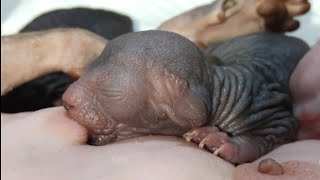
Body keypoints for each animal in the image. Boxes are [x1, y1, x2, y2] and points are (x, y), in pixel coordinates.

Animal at [61, 30, 308, 163]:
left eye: (111, 93)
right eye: (85, 69)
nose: (67, 101)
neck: (218, 88)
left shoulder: (267, 107)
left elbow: (275, 132)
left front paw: (220, 141)